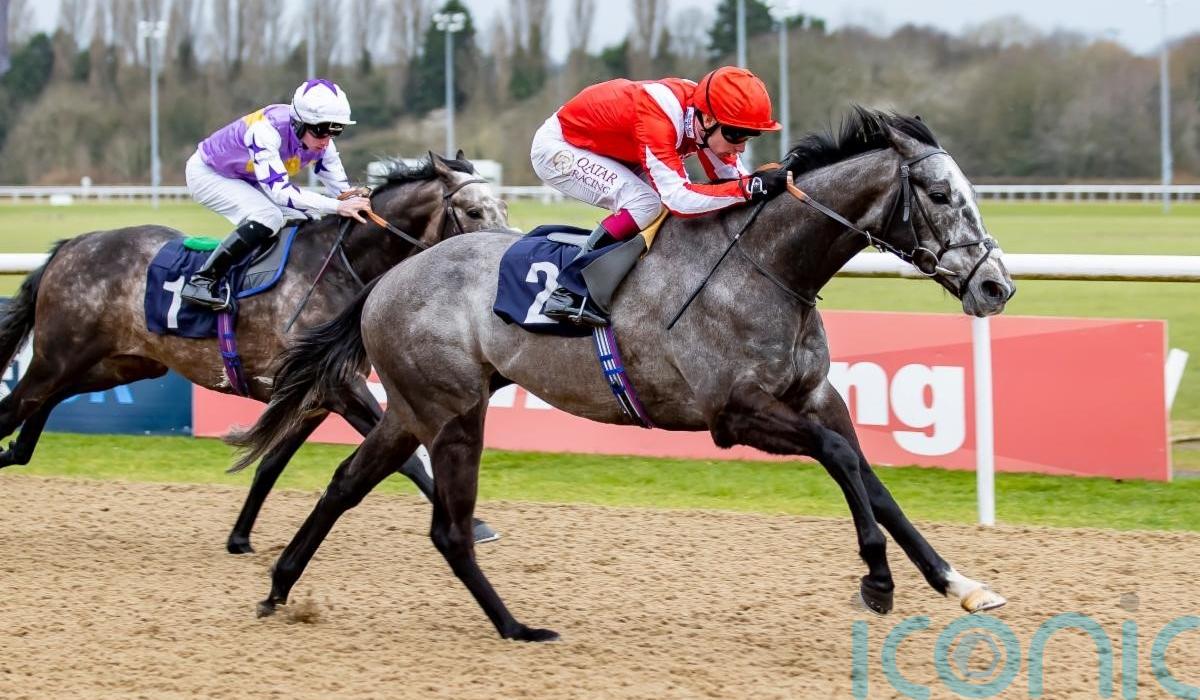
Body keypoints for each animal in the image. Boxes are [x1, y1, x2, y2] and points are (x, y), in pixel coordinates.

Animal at [0, 152, 508, 554]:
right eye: (473, 210)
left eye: (502, 205)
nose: (503, 256)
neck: (340, 268)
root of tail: (73, 245)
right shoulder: (341, 387)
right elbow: (409, 459)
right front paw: (477, 524)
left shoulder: (312, 394)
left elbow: (270, 465)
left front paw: (240, 537)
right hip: (61, 355)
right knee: (16, 404)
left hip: (121, 363)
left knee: (44, 402)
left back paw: (16, 452)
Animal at [234, 108, 1015, 642]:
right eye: (939, 195)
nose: (996, 287)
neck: (769, 267)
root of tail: (389, 276)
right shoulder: (734, 414)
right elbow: (842, 461)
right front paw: (877, 581)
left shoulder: (816, 396)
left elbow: (870, 477)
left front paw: (961, 583)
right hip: (448, 412)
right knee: (443, 525)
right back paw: (518, 628)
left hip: (417, 408)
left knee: (352, 487)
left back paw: (280, 588)